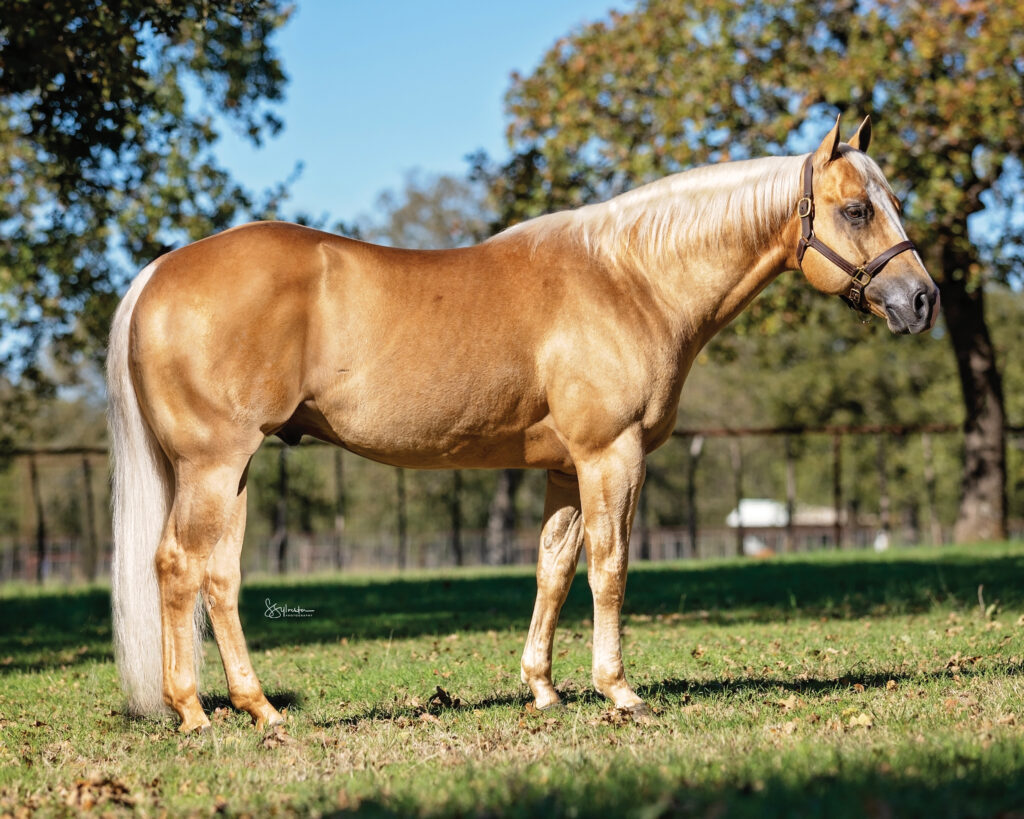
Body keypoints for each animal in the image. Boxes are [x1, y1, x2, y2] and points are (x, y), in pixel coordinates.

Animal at [108, 116, 938, 732]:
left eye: (893, 200)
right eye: (857, 208)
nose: (921, 299)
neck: (629, 278)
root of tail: (158, 273)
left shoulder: (565, 467)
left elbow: (554, 569)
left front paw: (543, 688)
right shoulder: (612, 454)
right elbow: (610, 567)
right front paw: (619, 689)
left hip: (234, 470)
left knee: (218, 576)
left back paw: (258, 708)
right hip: (214, 464)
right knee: (179, 566)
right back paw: (196, 711)